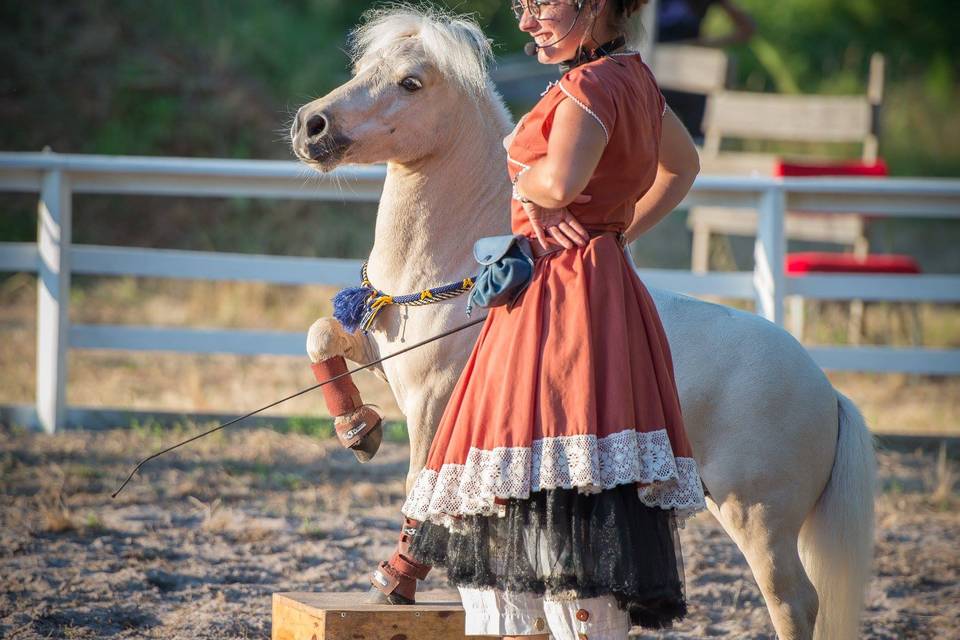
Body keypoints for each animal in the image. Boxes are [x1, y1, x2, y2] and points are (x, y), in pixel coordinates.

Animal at [290, 6, 876, 640]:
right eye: (361, 70)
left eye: (411, 83)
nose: (311, 126)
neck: (463, 272)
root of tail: (829, 392)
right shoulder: (387, 359)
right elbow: (321, 335)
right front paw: (358, 429)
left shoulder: (435, 404)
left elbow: (420, 489)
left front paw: (396, 580)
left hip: (758, 517)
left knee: (793, 601)